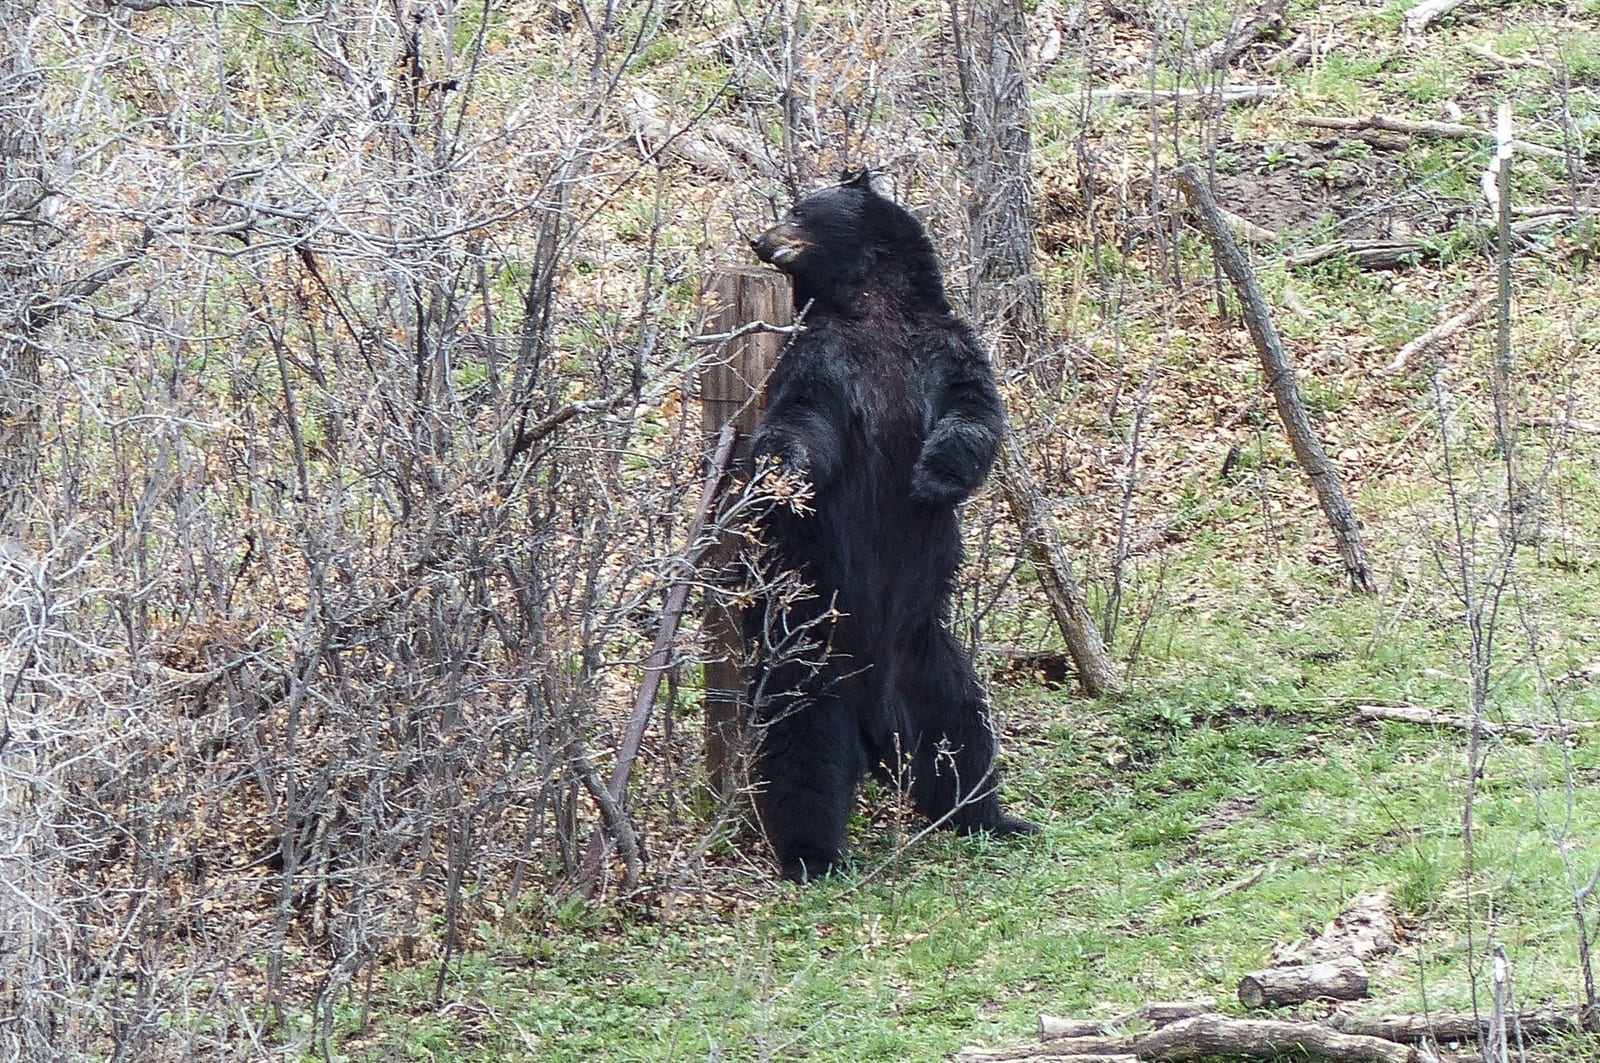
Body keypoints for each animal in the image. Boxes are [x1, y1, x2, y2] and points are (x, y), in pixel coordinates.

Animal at [745, 169, 1039, 883]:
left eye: (800, 209)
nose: (759, 239)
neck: (873, 307)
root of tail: (877, 720)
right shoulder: (825, 360)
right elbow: (804, 420)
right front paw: (778, 471)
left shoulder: (943, 347)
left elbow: (974, 413)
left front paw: (932, 475)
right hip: (814, 667)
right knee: (802, 756)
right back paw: (813, 855)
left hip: (930, 658)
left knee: (963, 733)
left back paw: (993, 817)